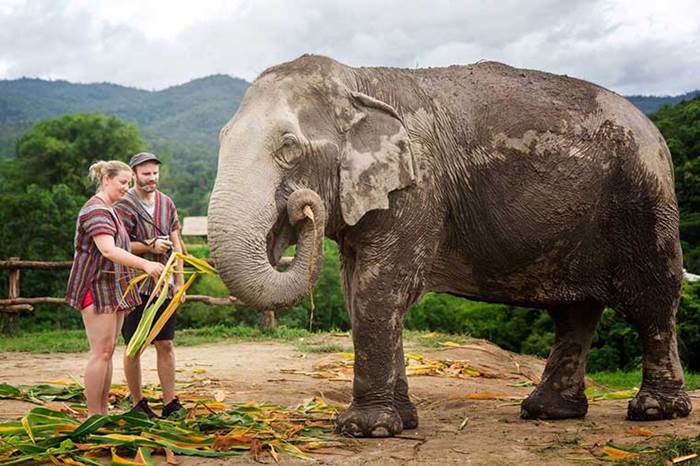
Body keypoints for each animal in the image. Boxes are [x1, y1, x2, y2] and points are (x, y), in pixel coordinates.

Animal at [206, 54, 688, 436]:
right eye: (222, 138)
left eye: (288, 148)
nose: (302, 207)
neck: (359, 80)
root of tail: (654, 130)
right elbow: (355, 291)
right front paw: (401, 422)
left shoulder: (419, 187)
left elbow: (380, 289)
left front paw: (365, 429)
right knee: (575, 312)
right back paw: (547, 412)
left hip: (644, 198)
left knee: (652, 299)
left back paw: (654, 411)